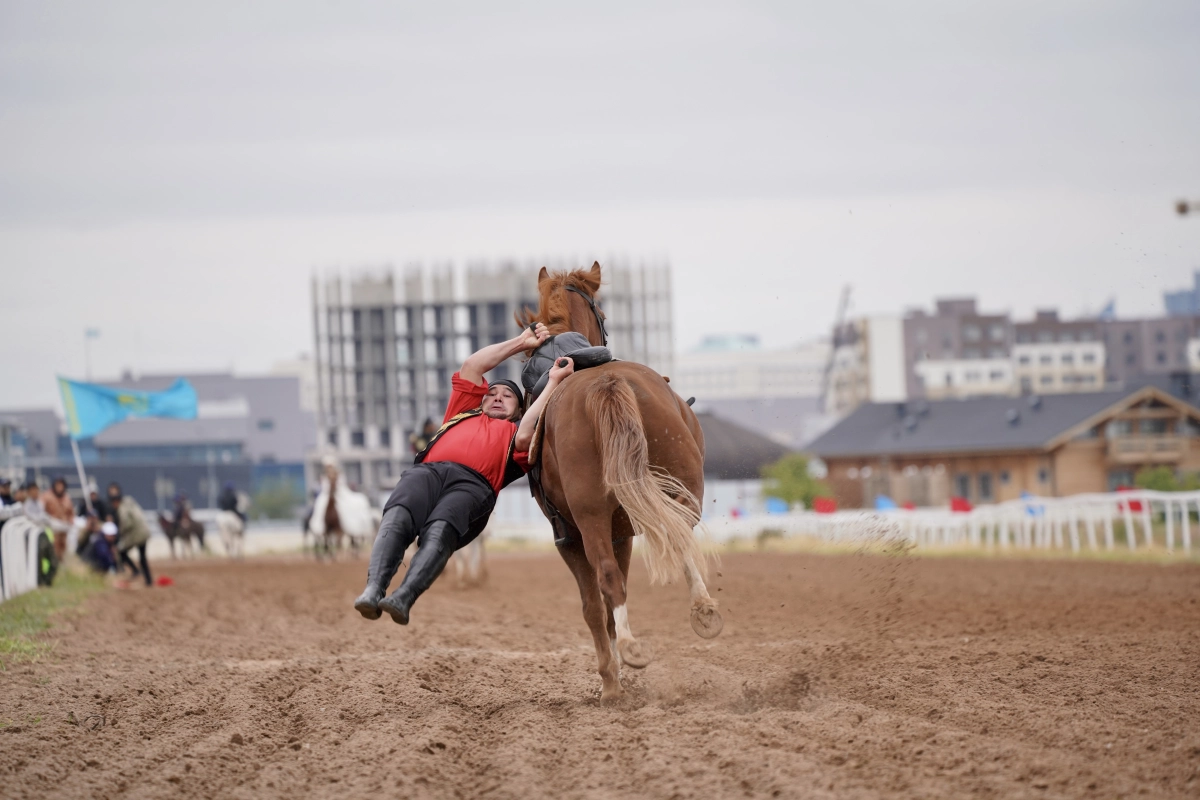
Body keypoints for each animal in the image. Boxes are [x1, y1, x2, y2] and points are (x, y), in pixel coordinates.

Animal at [516, 263, 720, 700]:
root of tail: (604, 384)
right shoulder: (613, 531)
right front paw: (612, 676)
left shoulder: (579, 536)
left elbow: (595, 607)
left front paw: (610, 678)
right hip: (668, 494)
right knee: (675, 539)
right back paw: (696, 615)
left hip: (596, 516)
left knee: (616, 575)